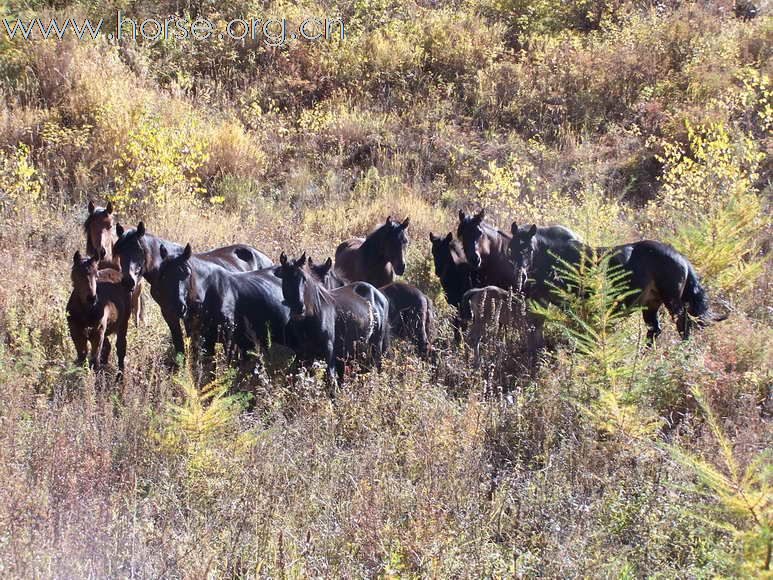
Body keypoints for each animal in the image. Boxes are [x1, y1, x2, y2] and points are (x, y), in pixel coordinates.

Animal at [112, 222, 272, 356]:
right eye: (120, 252)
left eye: (139, 250)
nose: (128, 281)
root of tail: (265, 258)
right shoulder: (169, 312)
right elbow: (179, 343)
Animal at [274, 253, 390, 386]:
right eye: (285, 278)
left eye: (304, 279)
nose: (299, 308)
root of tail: (380, 295)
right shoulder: (303, 354)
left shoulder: (329, 351)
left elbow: (331, 379)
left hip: (376, 343)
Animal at [506, 225, 724, 344]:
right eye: (511, 248)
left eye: (529, 249)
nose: (520, 277)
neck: (557, 257)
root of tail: (681, 258)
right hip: (651, 303)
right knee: (654, 331)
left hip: (672, 302)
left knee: (683, 326)